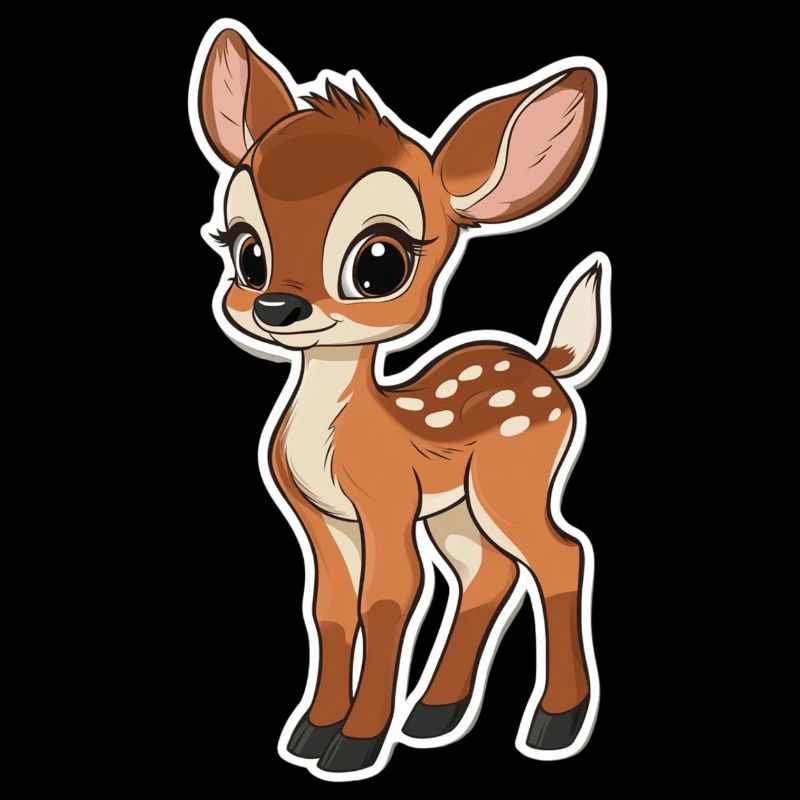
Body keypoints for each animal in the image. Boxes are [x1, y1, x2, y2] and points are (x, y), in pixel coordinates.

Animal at [191, 21, 609, 781]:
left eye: (379, 261)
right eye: (246, 249)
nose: (276, 306)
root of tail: (547, 364)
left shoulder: (385, 500)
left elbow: (388, 601)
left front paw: (354, 744)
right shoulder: (319, 516)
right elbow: (328, 609)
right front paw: (311, 733)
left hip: (514, 478)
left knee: (561, 556)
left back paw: (553, 724)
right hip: (456, 507)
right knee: (487, 571)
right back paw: (434, 713)